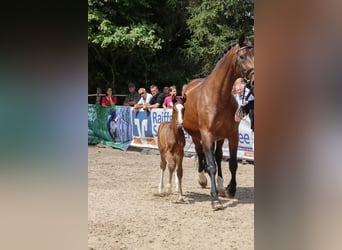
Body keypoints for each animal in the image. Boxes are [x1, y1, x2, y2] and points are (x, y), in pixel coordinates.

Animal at [183, 34, 252, 209]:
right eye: (242, 56)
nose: (254, 80)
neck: (218, 96)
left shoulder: (232, 135)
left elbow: (232, 163)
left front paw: (230, 189)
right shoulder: (206, 135)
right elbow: (211, 165)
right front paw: (214, 199)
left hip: (220, 138)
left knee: (219, 156)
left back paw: (220, 186)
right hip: (196, 135)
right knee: (201, 153)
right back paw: (202, 179)